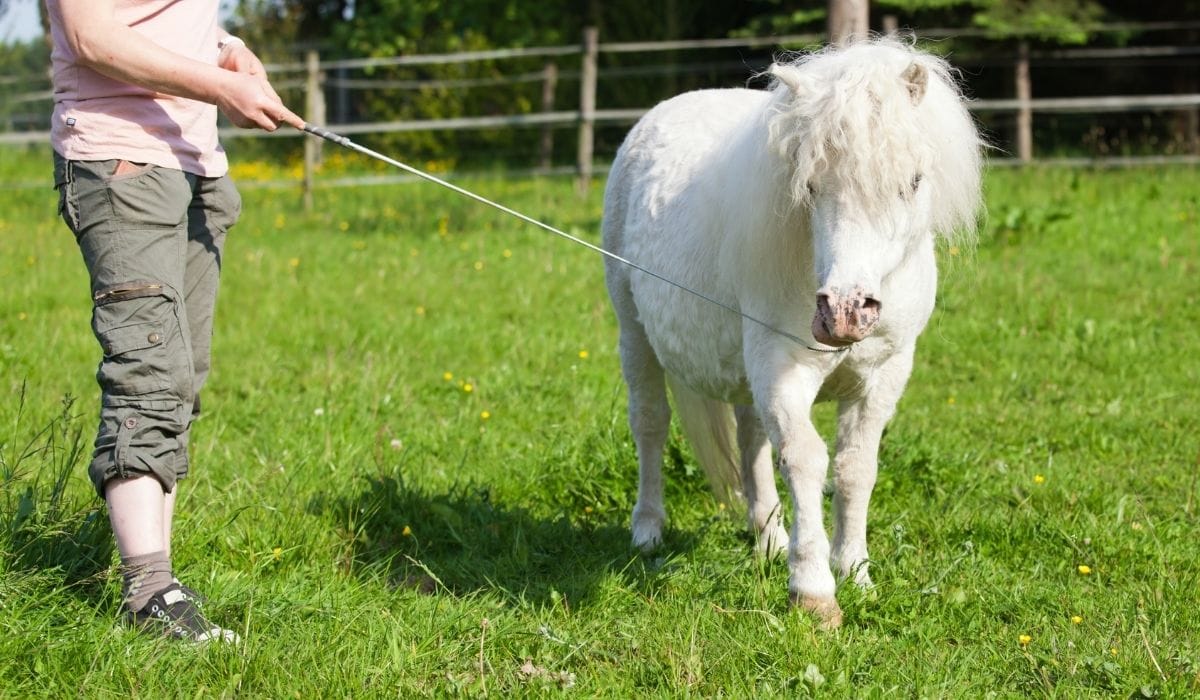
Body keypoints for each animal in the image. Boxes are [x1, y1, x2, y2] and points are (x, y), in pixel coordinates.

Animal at [604, 39, 979, 629]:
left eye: (914, 182)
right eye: (811, 186)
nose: (846, 312)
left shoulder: (885, 375)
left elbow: (854, 468)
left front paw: (855, 572)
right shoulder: (782, 368)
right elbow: (805, 459)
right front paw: (813, 591)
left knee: (751, 440)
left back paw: (769, 539)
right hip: (635, 336)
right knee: (650, 425)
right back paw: (648, 530)